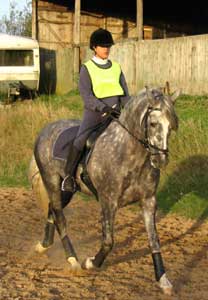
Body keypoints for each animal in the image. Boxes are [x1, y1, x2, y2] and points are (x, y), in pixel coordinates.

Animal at [28, 86, 180, 296]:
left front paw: (163, 280)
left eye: (171, 127)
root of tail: (45, 130)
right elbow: (108, 241)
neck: (129, 154)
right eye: (153, 123)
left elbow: (154, 241)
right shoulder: (108, 201)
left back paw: (43, 246)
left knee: (52, 209)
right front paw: (91, 263)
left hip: (66, 190)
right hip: (51, 181)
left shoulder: (149, 201)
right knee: (59, 215)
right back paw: (73, 260)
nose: (160, 160)